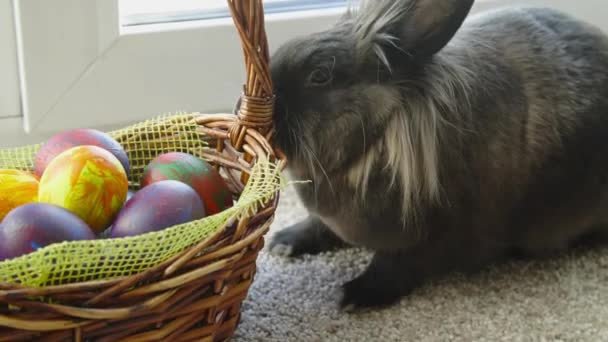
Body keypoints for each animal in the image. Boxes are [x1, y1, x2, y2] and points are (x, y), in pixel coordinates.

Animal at [268, 0, 608, 310]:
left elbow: (396, 266)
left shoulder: (435, 239)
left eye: (320, 75)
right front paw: (282, 243)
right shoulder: (326, 220)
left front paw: (355, 295)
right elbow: (316, 226)